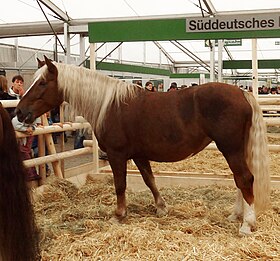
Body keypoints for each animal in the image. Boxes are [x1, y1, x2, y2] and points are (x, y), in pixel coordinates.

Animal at [15, 56, 270, 234]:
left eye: (42, 83)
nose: (19, 112)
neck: (109, 104)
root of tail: (242, 94)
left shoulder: (117, 155)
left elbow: (120, 185)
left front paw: (119, 214)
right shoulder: (139, 155)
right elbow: (150, 180)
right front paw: (161, 208)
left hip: (231, 148)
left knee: (244, 179)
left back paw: (247, 224)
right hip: (236, 149)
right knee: (240, 181)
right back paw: (236, 215)